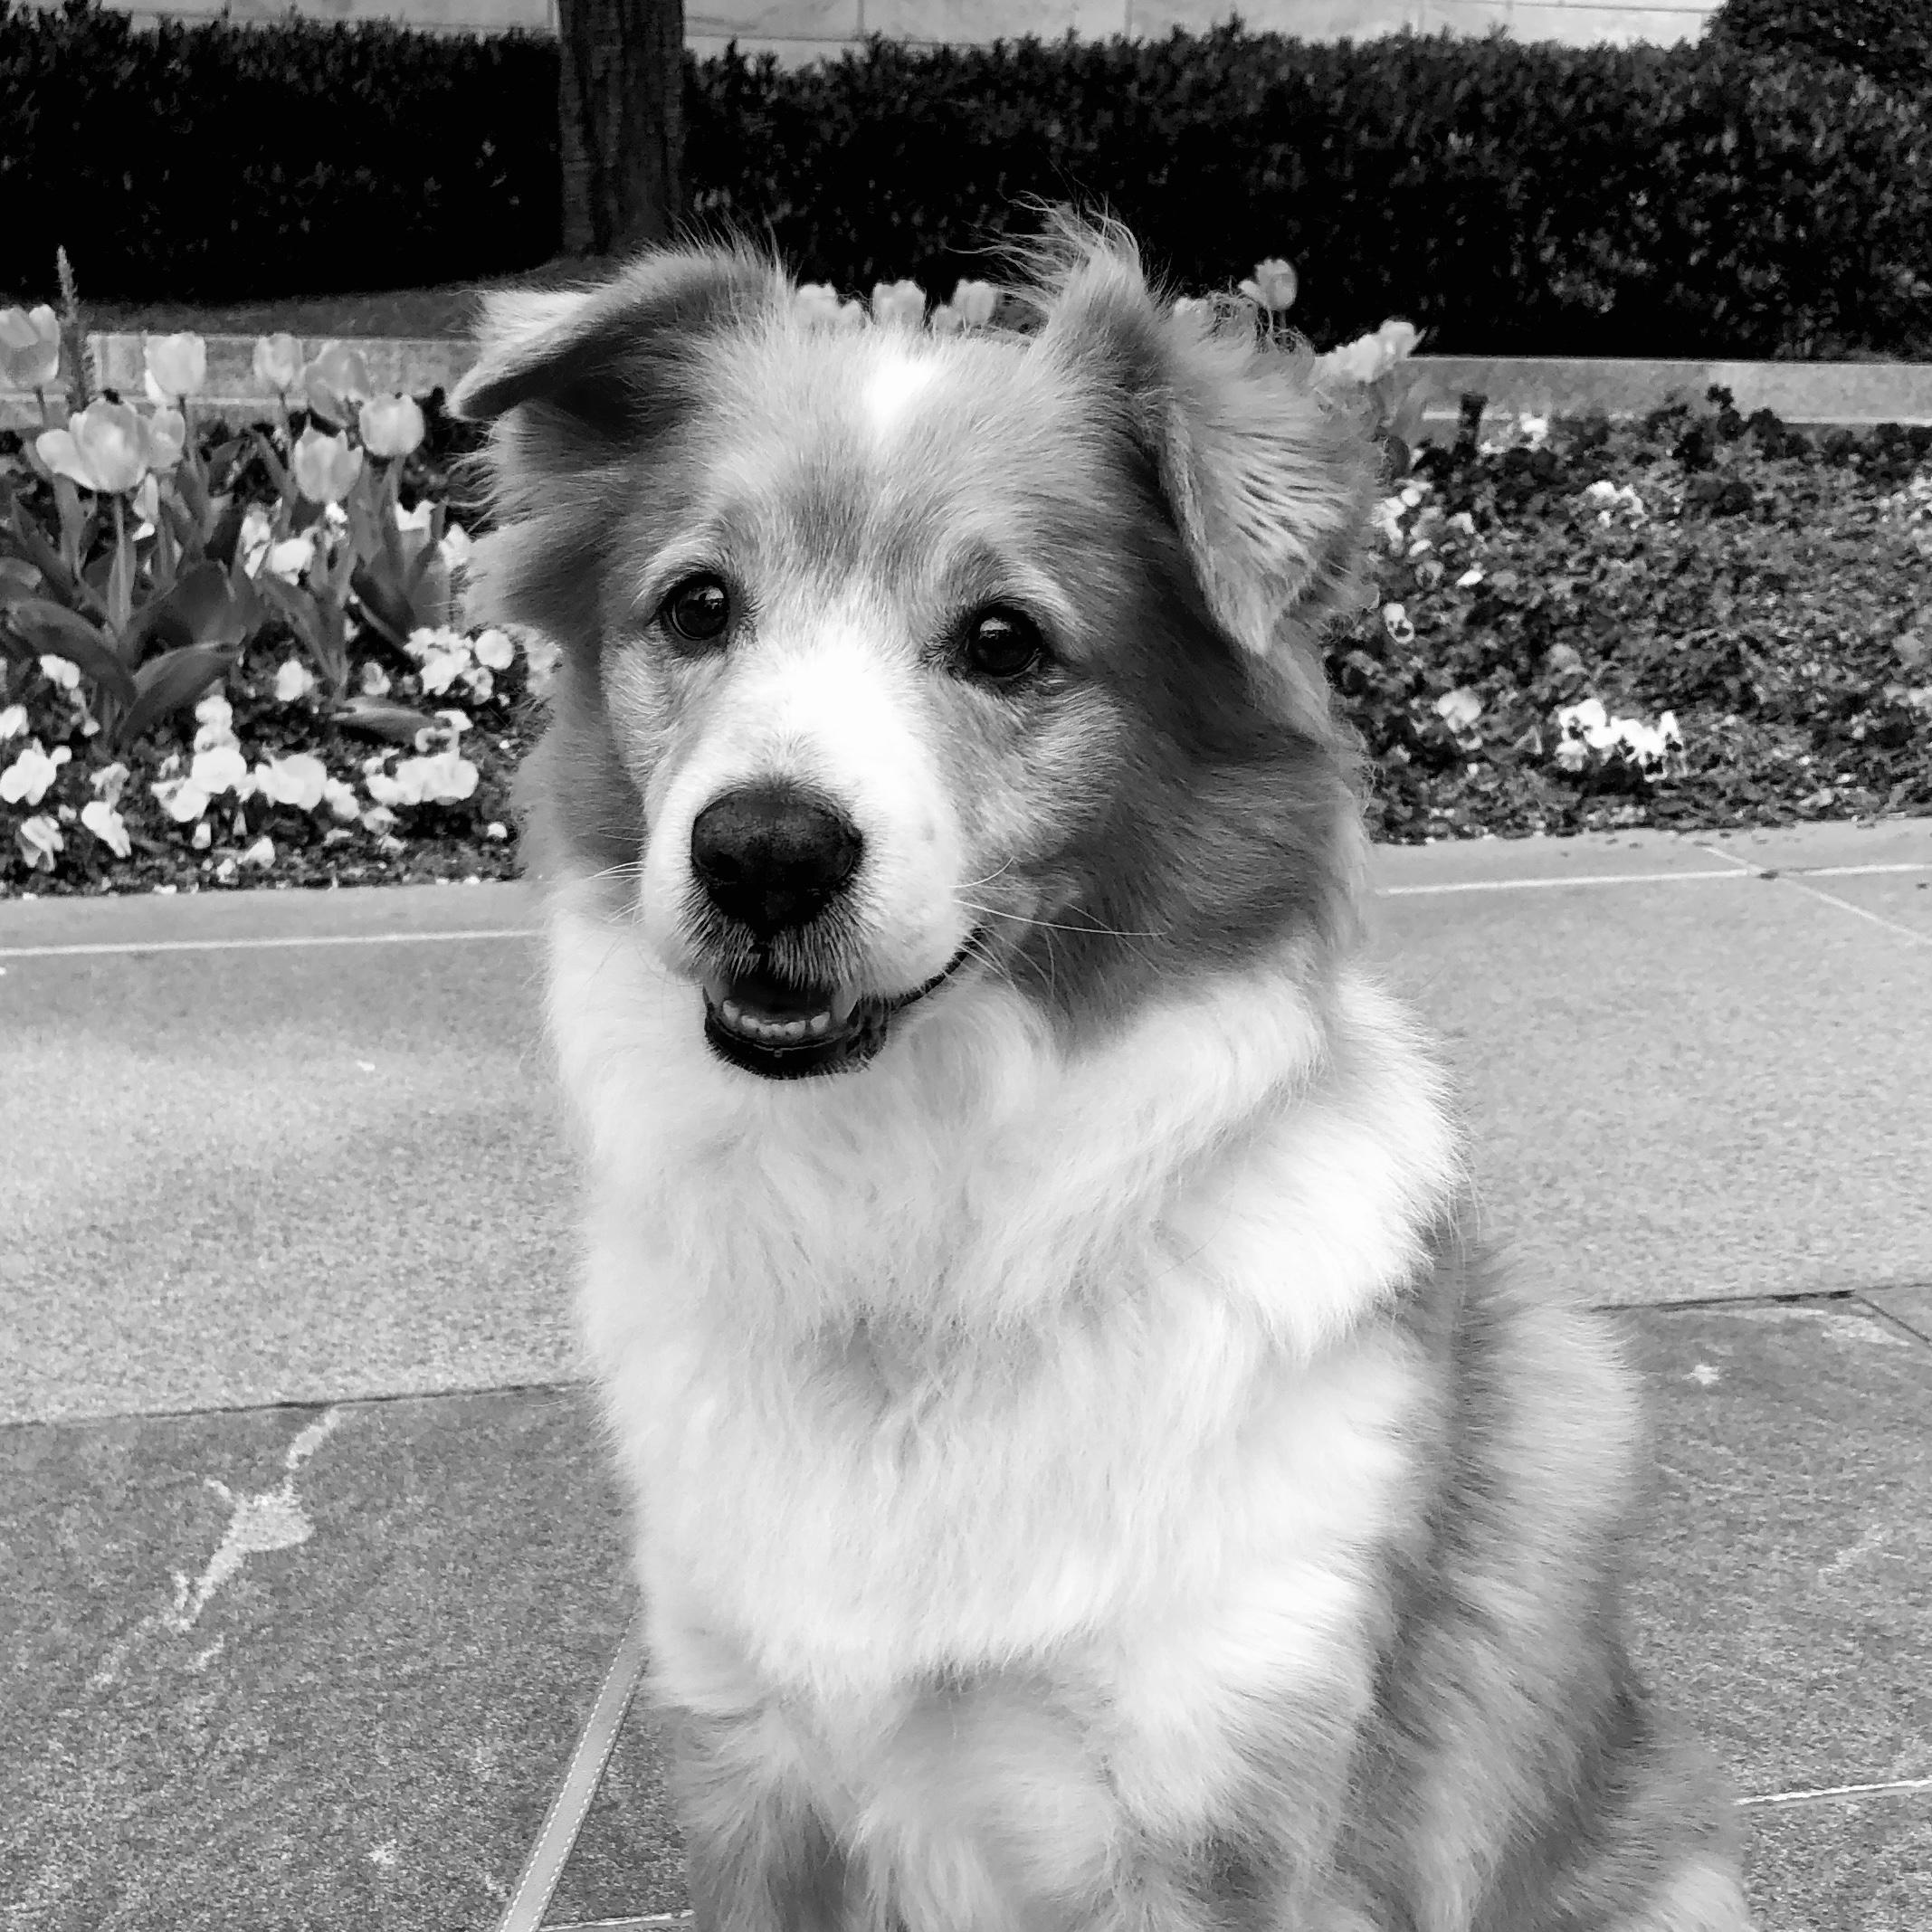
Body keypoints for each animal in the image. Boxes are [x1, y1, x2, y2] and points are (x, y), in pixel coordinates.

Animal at [452, 217, 1748, 1932]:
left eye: (1003, 639)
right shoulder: (752, 1764)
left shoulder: (1218, 1810)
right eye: (698, 606)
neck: (923, 1257)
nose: (761, 853)